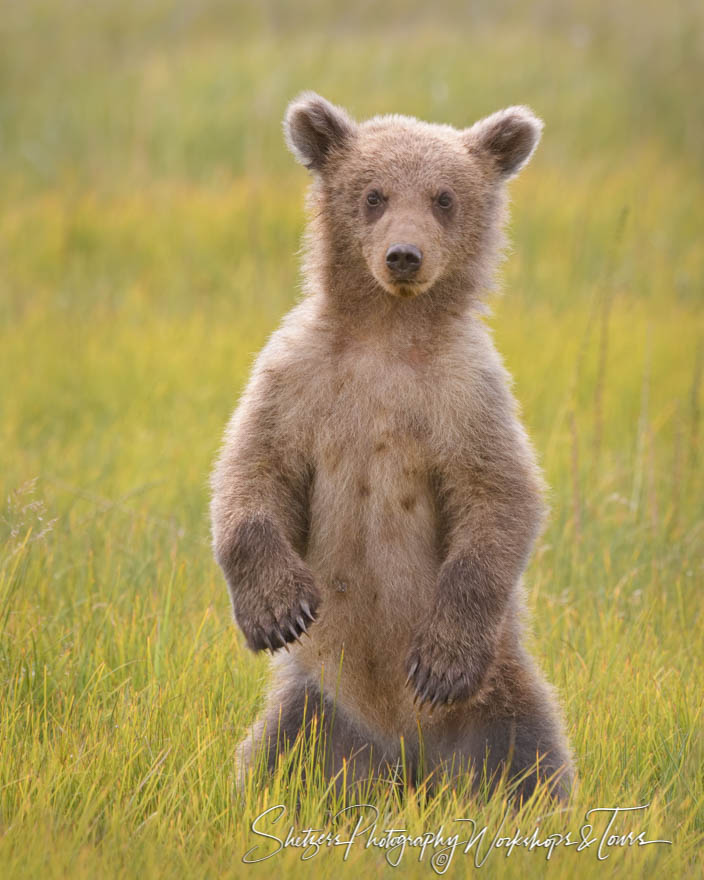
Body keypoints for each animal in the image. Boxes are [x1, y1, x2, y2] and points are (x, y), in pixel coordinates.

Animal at [212, 93, 576, 800]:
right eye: (374, 194)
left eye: (444, 197)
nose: (403, 255)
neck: (387, 331)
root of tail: (407, 762)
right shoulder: (298, 378)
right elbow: (253, 470)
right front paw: (276, 611)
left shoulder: (465, 397)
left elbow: (501, 496)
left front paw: (440, 662)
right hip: (317, 715)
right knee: (274, 758)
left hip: (499, 703)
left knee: (530, 759)